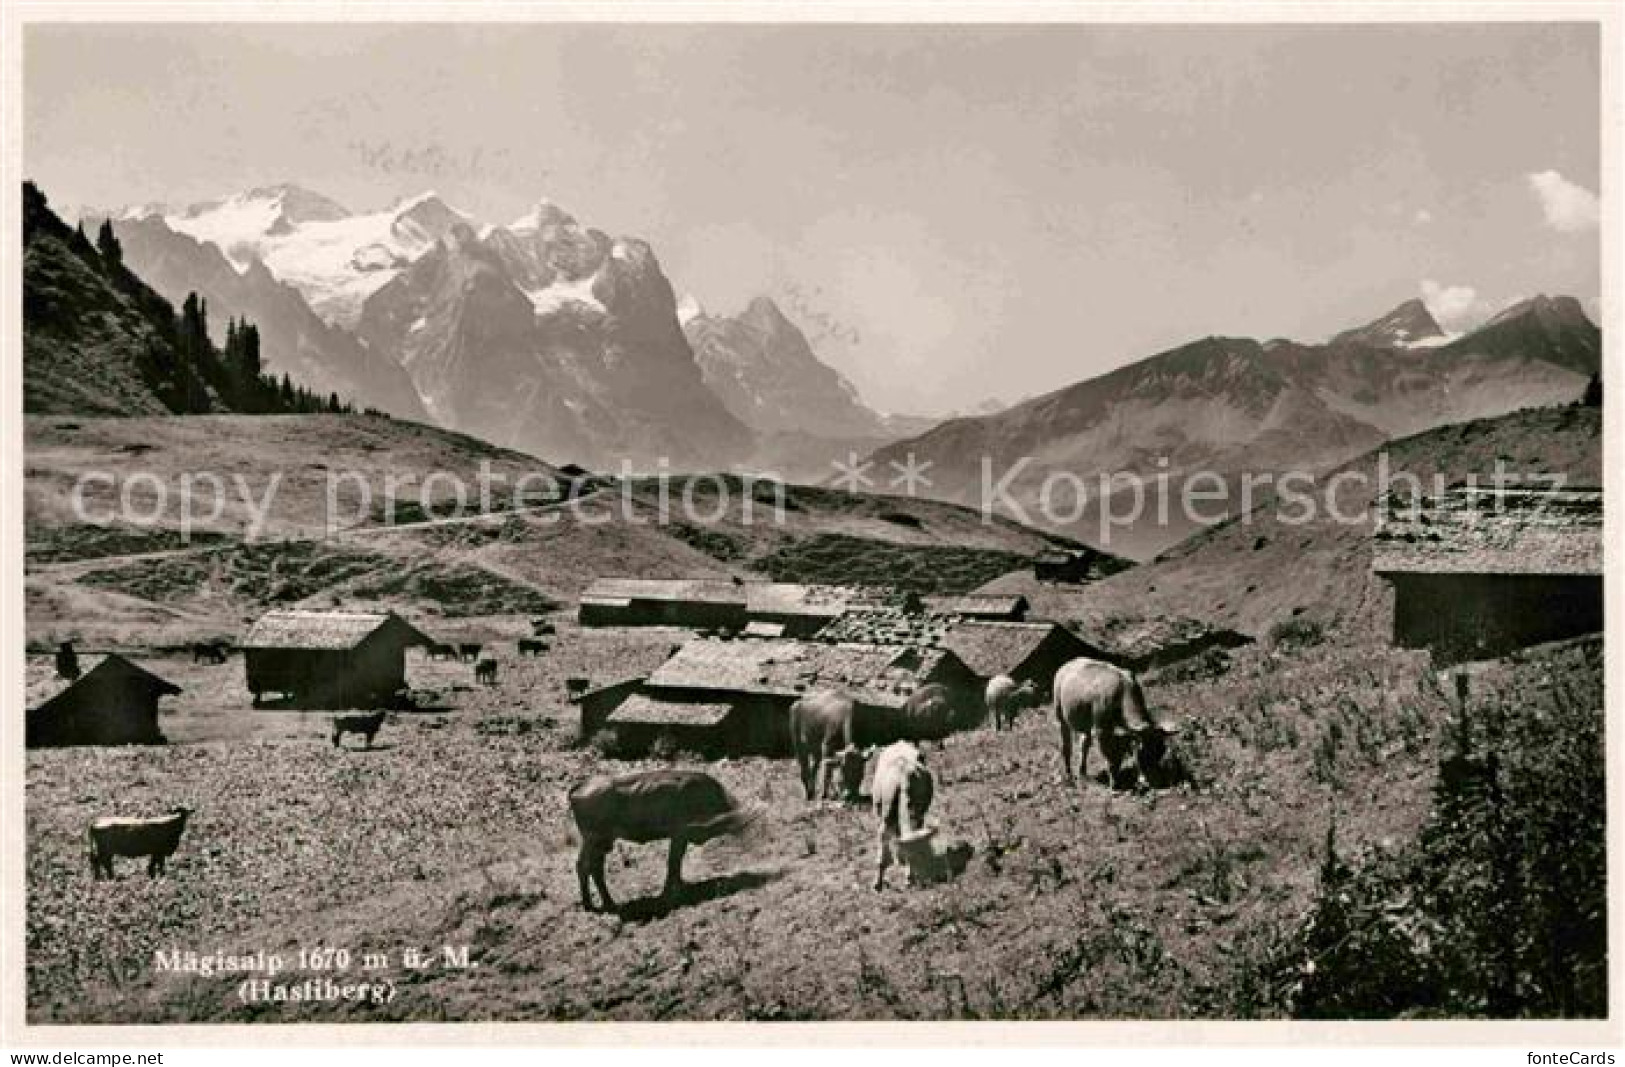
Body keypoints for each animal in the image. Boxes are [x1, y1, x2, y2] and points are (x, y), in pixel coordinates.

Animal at [568, 766, 750, 909]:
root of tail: (580, 787)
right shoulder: (679, 835)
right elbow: (673, 862)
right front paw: (670, 894)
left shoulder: (680, 838)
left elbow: (676, 862)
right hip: (594, 841)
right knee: (585, 866)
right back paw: (593, 904)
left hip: (602, 844)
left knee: (594, 868)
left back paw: (606, 903)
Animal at [1053, 652, 1183, 786]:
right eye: (1143, 754)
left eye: (1161, 751)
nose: (1154, 781)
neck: (1122, 691)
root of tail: (1067, 664)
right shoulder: (1101, 731)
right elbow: (1111, 758)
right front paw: (1114, 783)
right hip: (1060, 715)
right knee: (1066, 745)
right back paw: (1069, 774)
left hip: (1086, 726)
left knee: (1084, 744)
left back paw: (1082, 773)